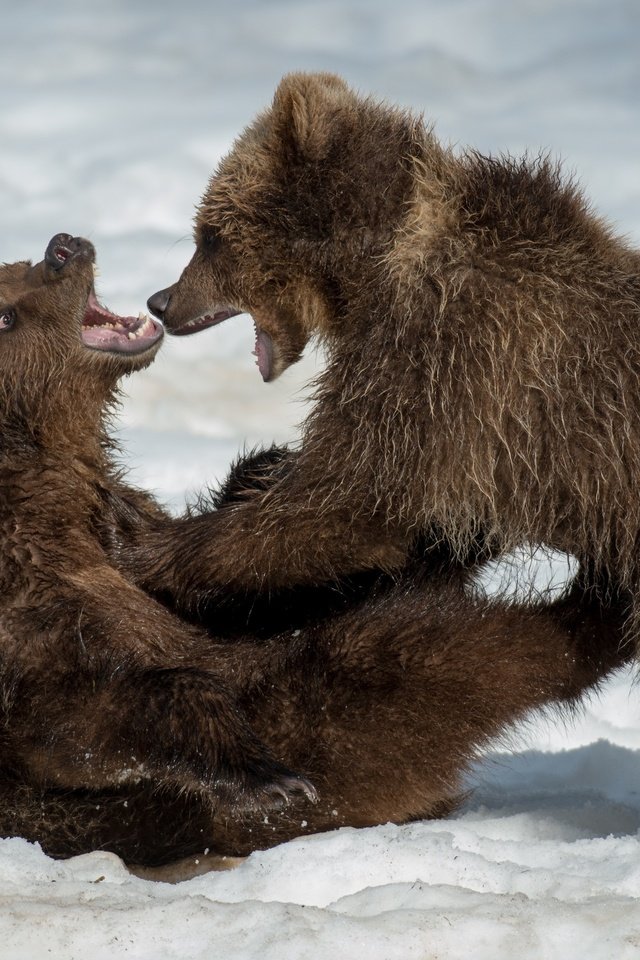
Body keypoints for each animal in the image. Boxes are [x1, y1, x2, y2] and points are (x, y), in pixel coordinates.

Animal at [0, 234, 632, 872]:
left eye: (16, 267)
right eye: (6, 314)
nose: (62, 247)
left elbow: (231, 587)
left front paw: (261, 472)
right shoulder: (36, 611)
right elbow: (81, 717)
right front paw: (266, 775)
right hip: (327, 722)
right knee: (453, 649)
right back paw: (592, 603)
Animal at [138, 71, 640, 648]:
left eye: (210, 236)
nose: (160, 301)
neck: (374, 265)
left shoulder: (445, 353)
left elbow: (350, 500)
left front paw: (149, 542)